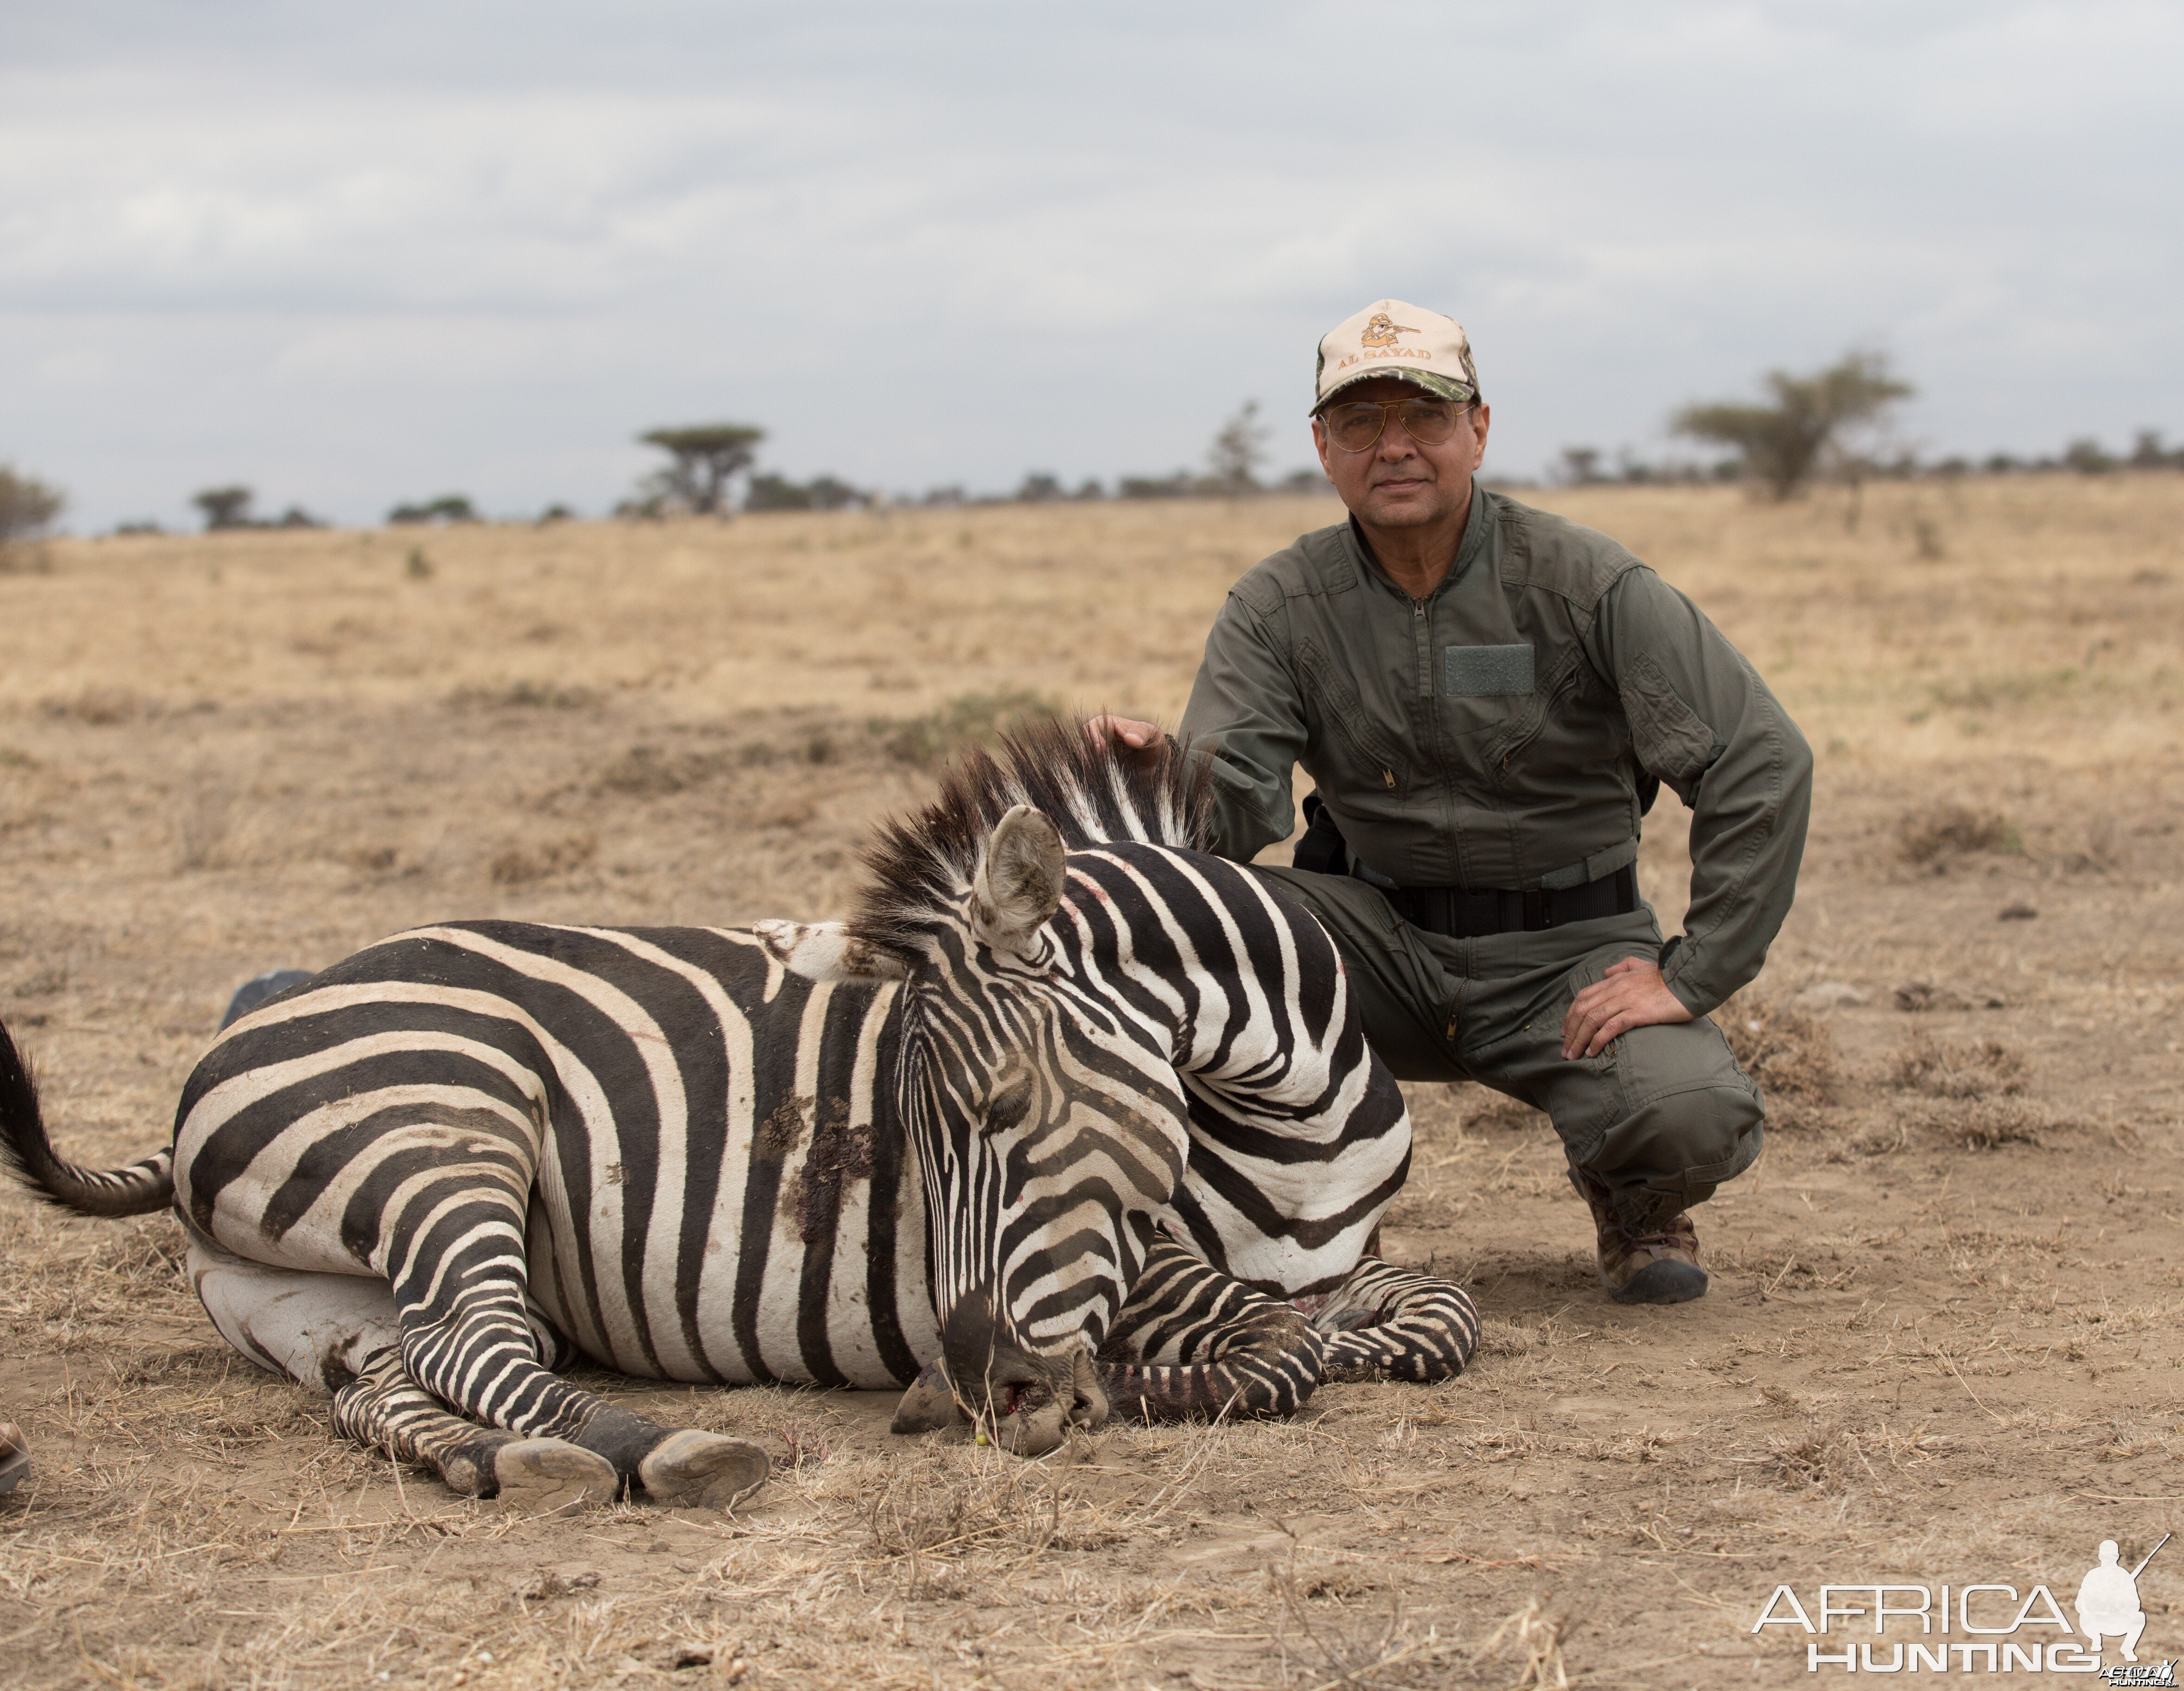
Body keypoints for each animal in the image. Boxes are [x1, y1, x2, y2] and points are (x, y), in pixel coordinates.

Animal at [0, 721, 1476, 1520]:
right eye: (913, 1135)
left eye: (999, 1107)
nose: (975, 1391)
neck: (1288, 1124)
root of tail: (253, 1018)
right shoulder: (1151, 1270)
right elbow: (1284, 1347)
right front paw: (1154, 1386)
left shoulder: (1344, 1261)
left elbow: (1431, 1318)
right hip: (449, 1122)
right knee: (472, 1338)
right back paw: (662, 1450)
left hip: (304, 1298)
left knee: (393, 1382)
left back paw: (506, 1462)